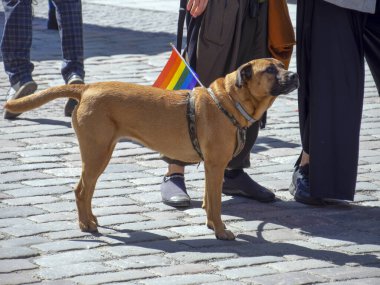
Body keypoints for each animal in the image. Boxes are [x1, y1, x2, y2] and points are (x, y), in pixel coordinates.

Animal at [4, 58, 298, 240]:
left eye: (282, 65)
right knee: (80, 190)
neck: (229, 100)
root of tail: (86, 88)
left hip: (100, 154)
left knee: (86, 192)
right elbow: (215, 203)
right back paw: (85, 225)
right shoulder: (215, 166)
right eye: (269, 70)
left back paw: (91, 220)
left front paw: (212, 225)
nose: (294, 75)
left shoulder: (211, 168)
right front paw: (221, 231)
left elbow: (208, 200)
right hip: (97, 153)